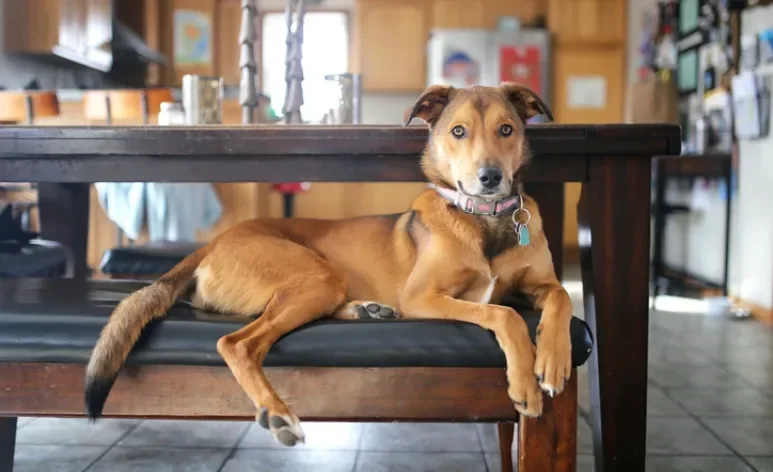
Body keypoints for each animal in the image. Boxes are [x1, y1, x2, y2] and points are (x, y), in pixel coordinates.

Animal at [86, 83, 572, 448]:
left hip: (322, 285)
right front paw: (526, 383)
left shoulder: (541, 283)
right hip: (316, 277)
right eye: (458, 131)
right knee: (236, 344)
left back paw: (367, 311)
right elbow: (504, 313)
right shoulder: (423, 298)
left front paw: (552, 360)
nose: (490, 178)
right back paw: (277, 413)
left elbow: (562, 296)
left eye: (506, 129)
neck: (485, 221)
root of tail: (215, 242)